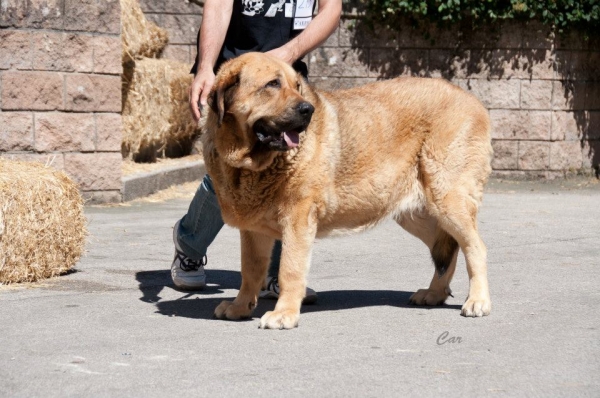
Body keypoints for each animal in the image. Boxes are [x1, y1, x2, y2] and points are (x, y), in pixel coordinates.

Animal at [202, 51, 492, 328]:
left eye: (297, 86)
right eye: (272, 84)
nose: (308, 109)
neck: (251, 166)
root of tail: (475, 102)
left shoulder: (297, 220)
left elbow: (289, 269)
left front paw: (284, 314)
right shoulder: (253, 230)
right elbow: (250, 270)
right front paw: (240, 307)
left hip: (446, 200)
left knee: (475, 246)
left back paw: (478, 300)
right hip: (416, 213)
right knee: (450, 248)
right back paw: (434, 293)